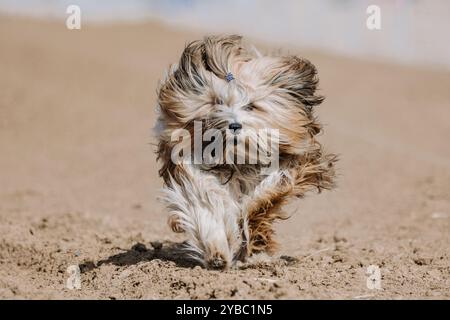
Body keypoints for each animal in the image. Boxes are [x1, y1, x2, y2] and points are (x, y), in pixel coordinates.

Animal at [154, 35, 334, 268]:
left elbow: (263, 199)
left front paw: (253, 238)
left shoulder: (289, 168)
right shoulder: (190, 171)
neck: (237, 161)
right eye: (217, 102)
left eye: (251, 106)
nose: (234, 125)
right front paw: (217, 252)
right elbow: (206, 204)